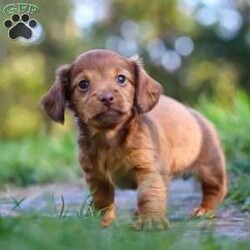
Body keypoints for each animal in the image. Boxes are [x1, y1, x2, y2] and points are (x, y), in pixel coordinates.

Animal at [42, 49, 228, 230]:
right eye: (83, 84)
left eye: (121, 78)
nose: (107, 97)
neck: (109, 138)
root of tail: (196, 114)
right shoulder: (95, 177)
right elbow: (103, 201)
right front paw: (104, 221)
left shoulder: (148, 170)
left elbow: (149, 196)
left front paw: (151, 221)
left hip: (211, 168)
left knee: (216, 190)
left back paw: (204, 210)